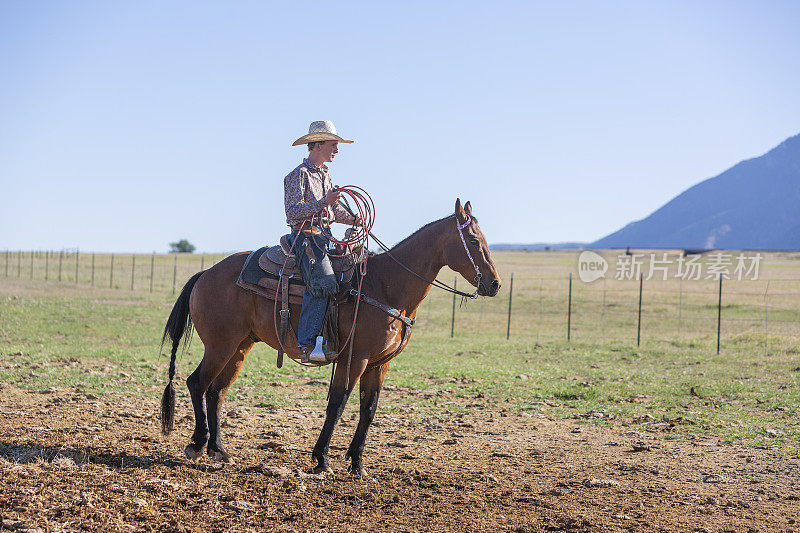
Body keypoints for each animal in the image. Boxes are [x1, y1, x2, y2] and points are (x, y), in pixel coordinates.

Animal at [159, 200, 500, 474]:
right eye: (473, 239)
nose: (494, 284)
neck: (386, 286)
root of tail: (205, 274)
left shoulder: (379, 364)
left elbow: (368, 409)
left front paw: (357, 463)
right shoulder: (355, 358)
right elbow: (337, 404)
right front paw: (322, 459)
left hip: (240, 347)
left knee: (216, 391)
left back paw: (219, 450)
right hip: (220, 344)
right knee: (197, 383)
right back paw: (197, 443)